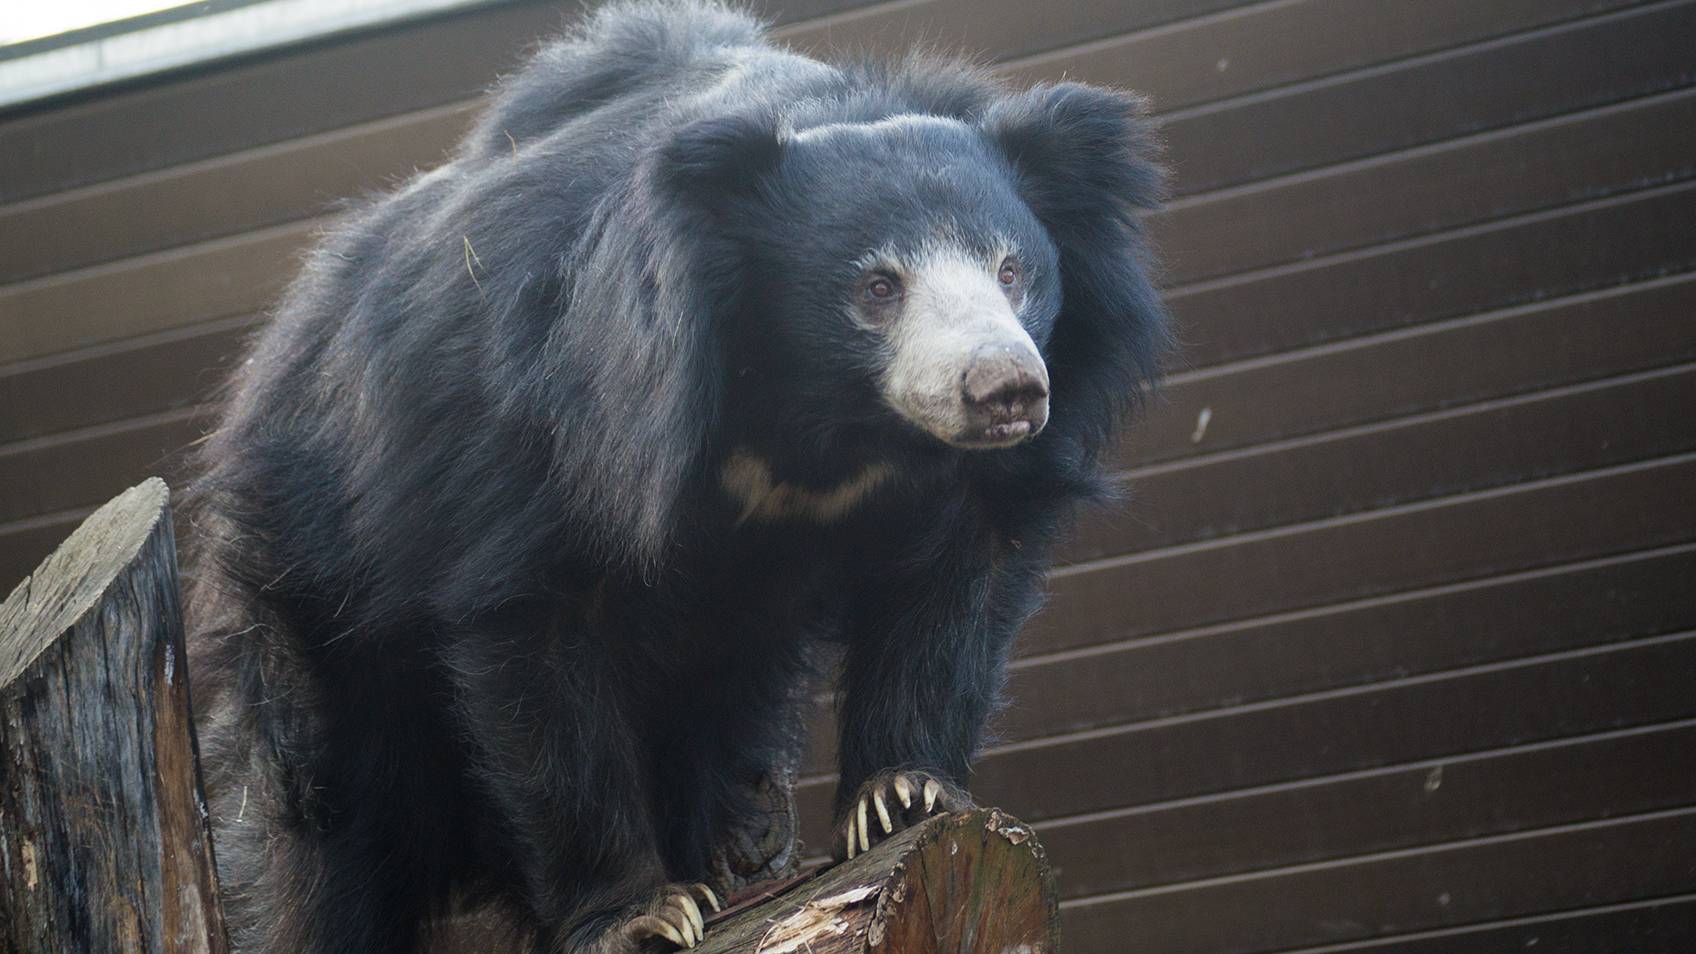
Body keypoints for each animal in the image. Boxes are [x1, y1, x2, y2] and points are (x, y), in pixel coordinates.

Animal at [185, 3, 1166, 943]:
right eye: (878, 288)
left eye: (1014, 270)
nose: (1007, 390)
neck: (822, 422)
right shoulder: (557, 425)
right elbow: (540, 638)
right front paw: (640, 913)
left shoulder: (956, 486)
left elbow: (957, 581)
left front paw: (902, 791)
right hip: (320, 587)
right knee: (339, 817)